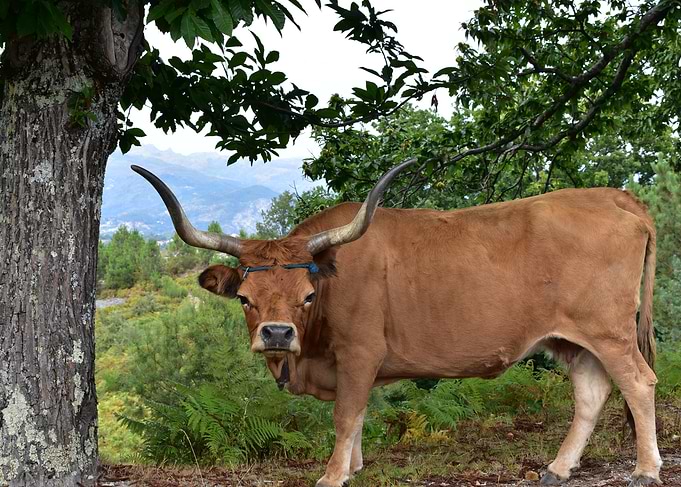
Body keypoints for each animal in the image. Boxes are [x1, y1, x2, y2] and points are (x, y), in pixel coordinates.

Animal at [132, 160, 661, 487]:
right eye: (245, 298)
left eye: (307, 296)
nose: (278, 334)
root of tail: (612, 197)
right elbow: (359, 415)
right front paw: (353, 467)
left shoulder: (360, 352)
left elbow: (346, 414)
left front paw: (332, 474)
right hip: (575, 339)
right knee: (591, 392)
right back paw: (558, 467)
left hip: (610, 331)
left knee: (639, 382)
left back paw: (646, 469)